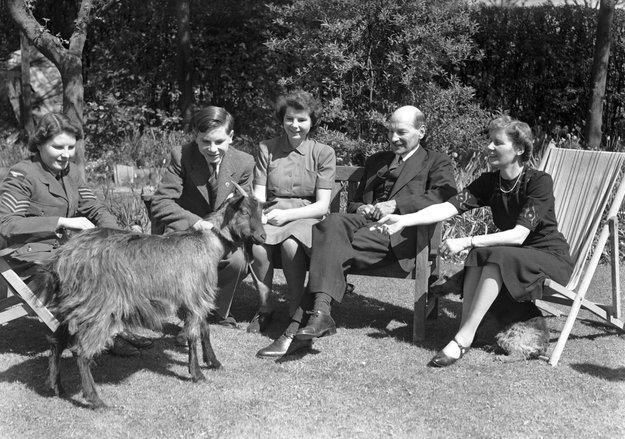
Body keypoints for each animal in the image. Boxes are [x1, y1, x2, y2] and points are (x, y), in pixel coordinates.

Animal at [32, 182, 266, 410]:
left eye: (261, 211)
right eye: (244, 211)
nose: (263, 236)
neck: (207, 243)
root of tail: (61, 258)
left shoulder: (196, 298)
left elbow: (205, 329)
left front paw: (213, 362)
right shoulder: (194, 297)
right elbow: (193, 335)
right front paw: (197, 374)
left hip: (72, 304)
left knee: (56, 341)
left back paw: (56, 386)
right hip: (97, 307)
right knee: (81, 352)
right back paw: (96, 401)